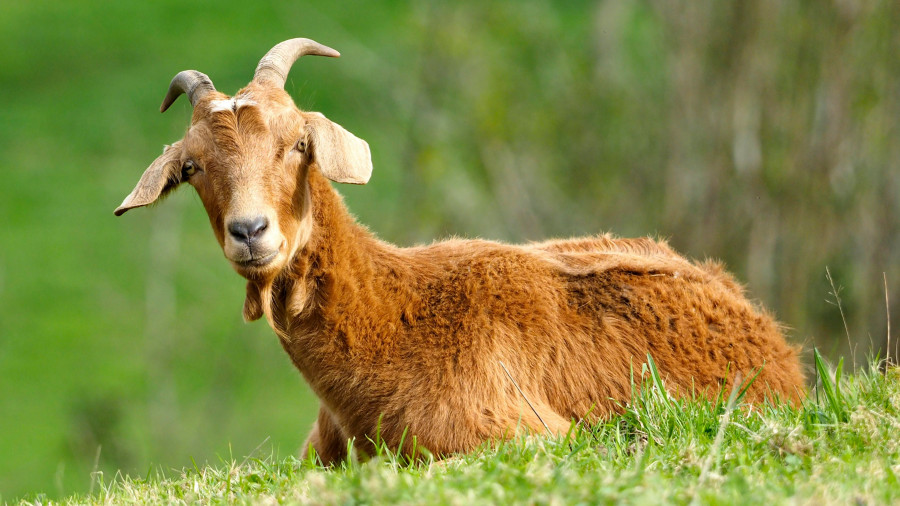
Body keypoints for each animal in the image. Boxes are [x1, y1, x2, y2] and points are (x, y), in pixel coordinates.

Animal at [116, 38, 804, 466]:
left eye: (298, 144)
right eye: (193, 167)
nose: (251, 231)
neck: (393, 322)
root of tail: (768, 331)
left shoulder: (519, 433)